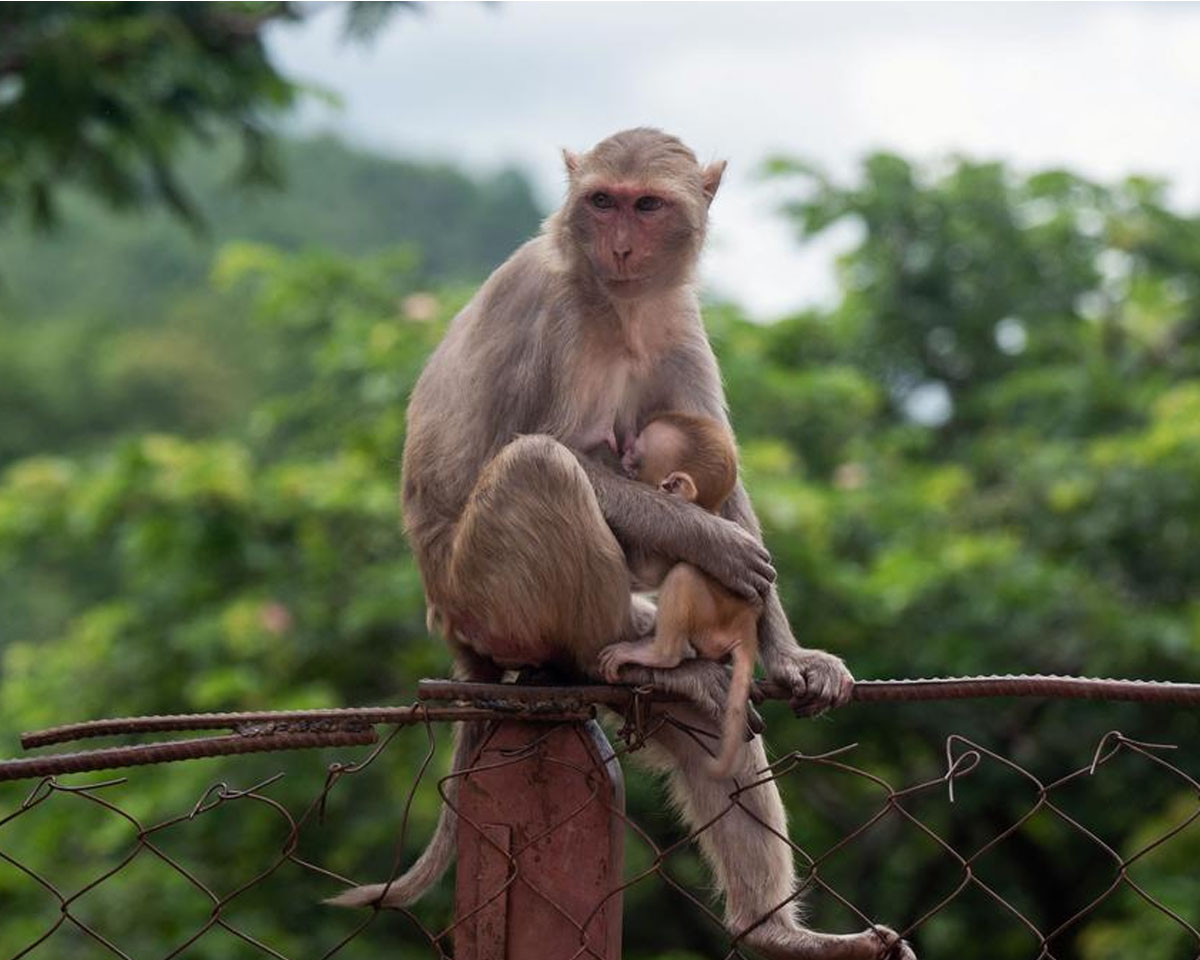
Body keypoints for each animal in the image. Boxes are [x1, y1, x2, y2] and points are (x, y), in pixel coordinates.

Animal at [600, 412, 758, 777]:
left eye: (636, 454)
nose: (624, 454)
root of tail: (746, 629)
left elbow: (649, 570)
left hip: (712, 621)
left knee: (683, 576)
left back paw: (659, 655)